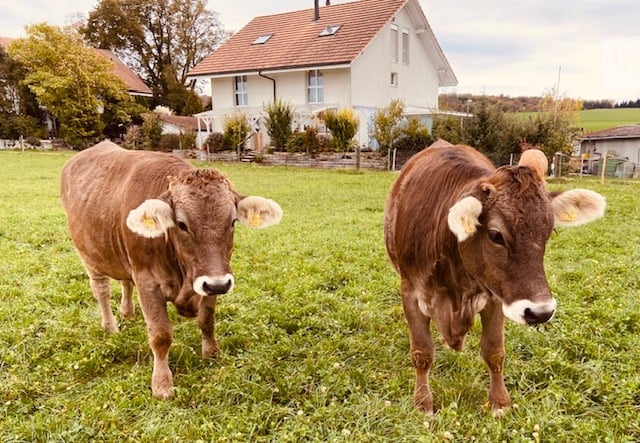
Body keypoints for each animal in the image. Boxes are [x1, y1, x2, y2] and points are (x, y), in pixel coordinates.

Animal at [60, 140, 283, 399]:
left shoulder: (210, 278)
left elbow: (207, 320)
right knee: (101, 291)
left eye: (233, 221)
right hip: (88, 255)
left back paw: (127, 312)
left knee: (125, 281)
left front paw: (212, 354)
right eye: (182, 224)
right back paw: (111, 327)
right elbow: (160, 335)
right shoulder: (148, 282)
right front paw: (162, 384)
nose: (217, 284)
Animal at [383, 144, 605, 415]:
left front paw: (500, 402)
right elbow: (422, 351)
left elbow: (494, 351)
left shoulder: (497, 296)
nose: (541, 312)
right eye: (495, 235)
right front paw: (423, 402)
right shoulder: (411, 291)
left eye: (549, 231)